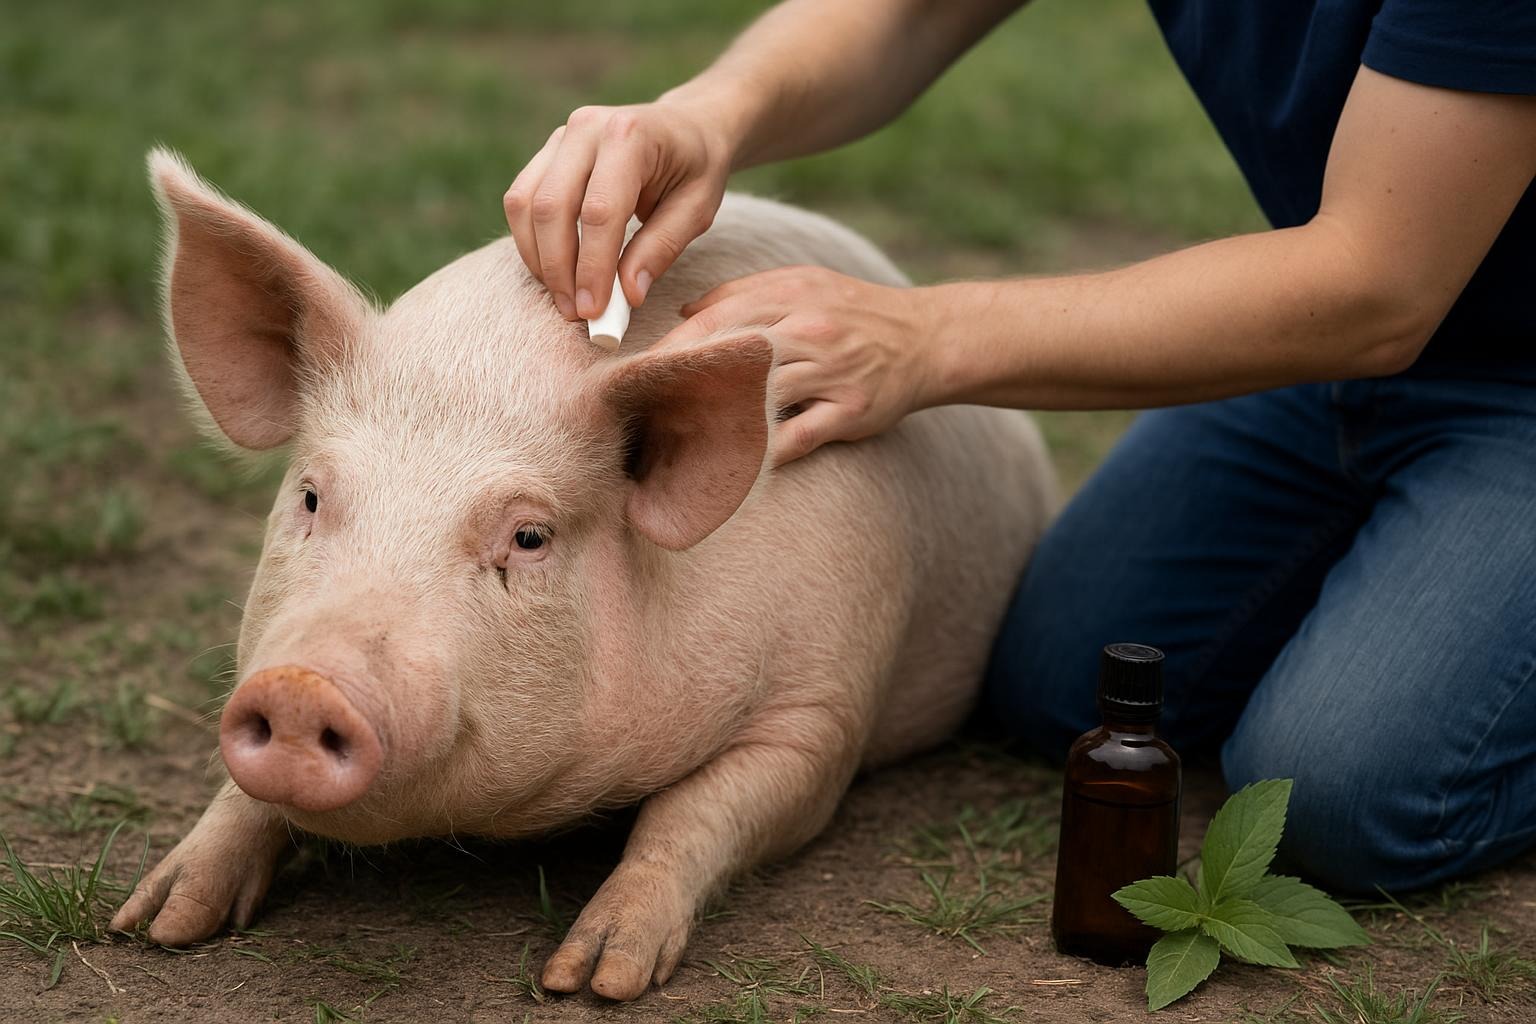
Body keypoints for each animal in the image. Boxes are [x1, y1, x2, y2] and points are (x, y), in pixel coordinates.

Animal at [111, 148, 1056, 1001]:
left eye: (529, 536)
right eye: (311, 495)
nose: (303, 687)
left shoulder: (826, 706)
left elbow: (694, 810)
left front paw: (592, 977)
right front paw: (154, 923)